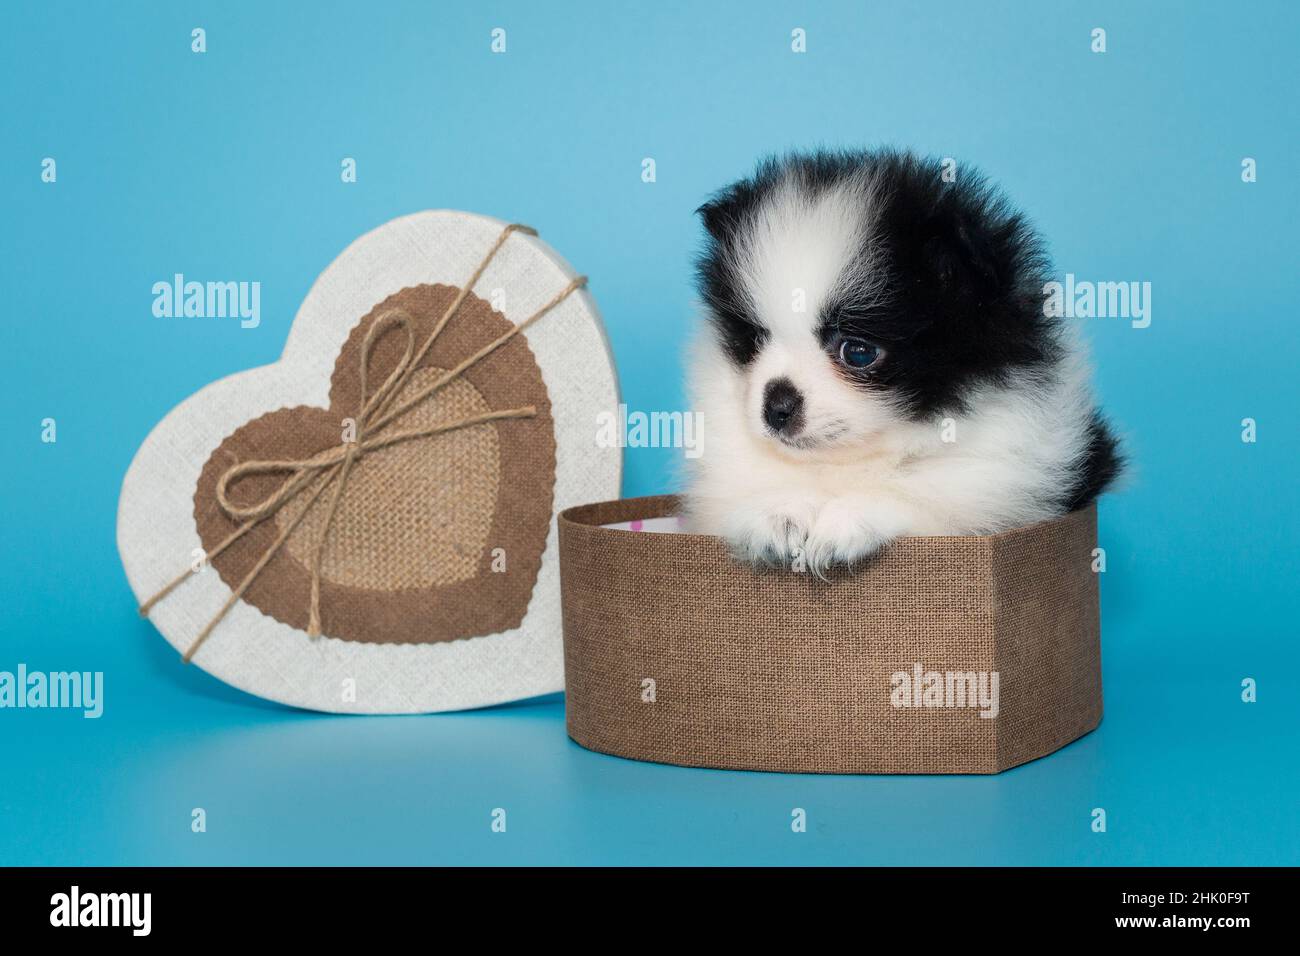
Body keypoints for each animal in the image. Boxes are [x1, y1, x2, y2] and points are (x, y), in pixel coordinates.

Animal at [686, 145, 1123, 572]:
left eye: (857, 352)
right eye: (754, 339)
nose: (776, 407)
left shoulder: (1010, 477)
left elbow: (932, 492)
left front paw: (849, 518)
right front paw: (777, 512)